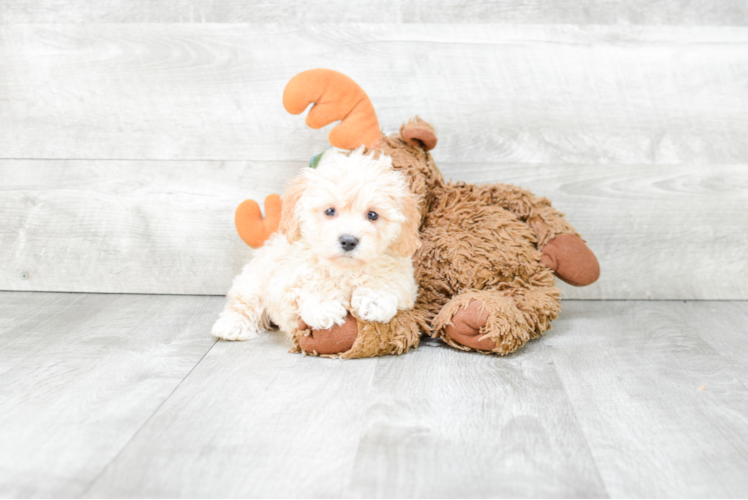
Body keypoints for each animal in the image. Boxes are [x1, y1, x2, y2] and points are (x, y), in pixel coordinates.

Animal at [210, 148, 420, 342]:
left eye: (373, 215)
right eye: (330, 211)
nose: (348, 241)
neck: (344, 270)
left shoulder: (405, 283)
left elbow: (389, 283)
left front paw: (375, 300)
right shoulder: (283, 286)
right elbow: (306, 288)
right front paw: (324, 304)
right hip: (253, 281)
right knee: (244, 303)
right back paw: (233, 325)